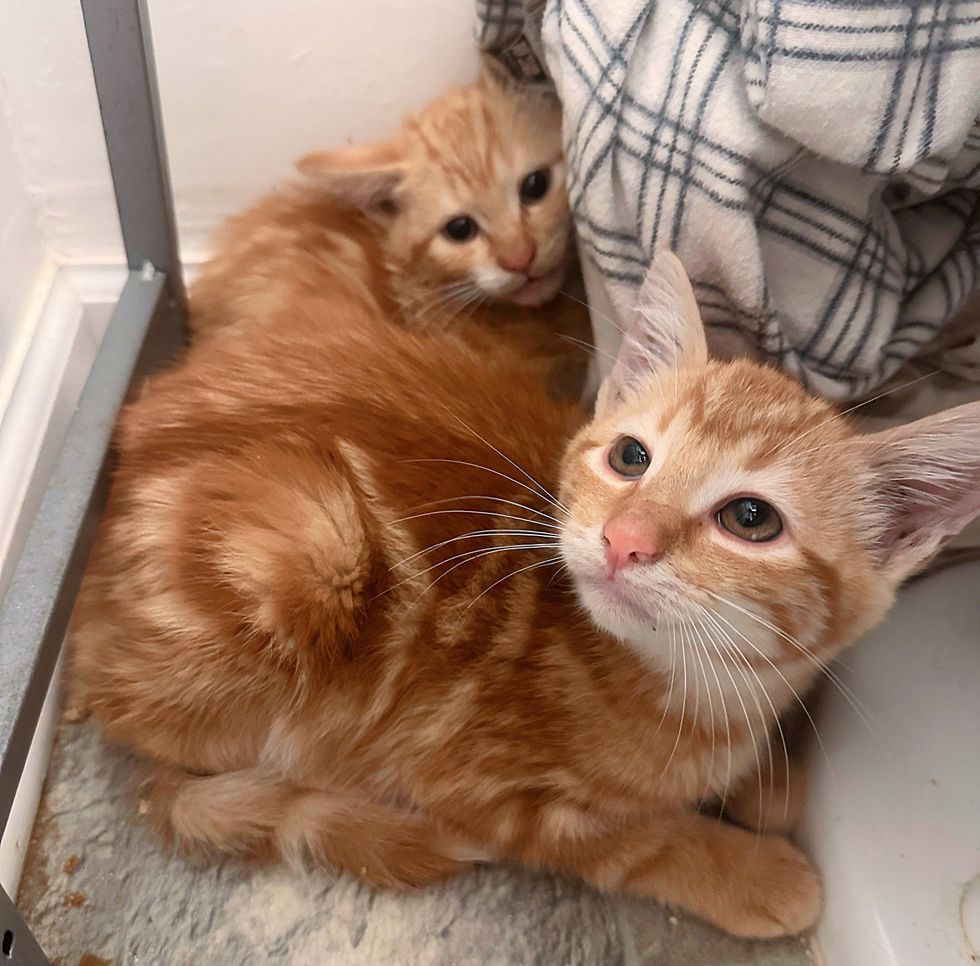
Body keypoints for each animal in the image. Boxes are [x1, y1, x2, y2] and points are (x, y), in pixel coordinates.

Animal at [71, 253, 980, 940]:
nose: (625, 540)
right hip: (309, 547)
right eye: (631, 457)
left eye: (751, 519)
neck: (699, 687)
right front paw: (750, 870)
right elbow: (635, 840)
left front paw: (772, 783)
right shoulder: (478, 788)